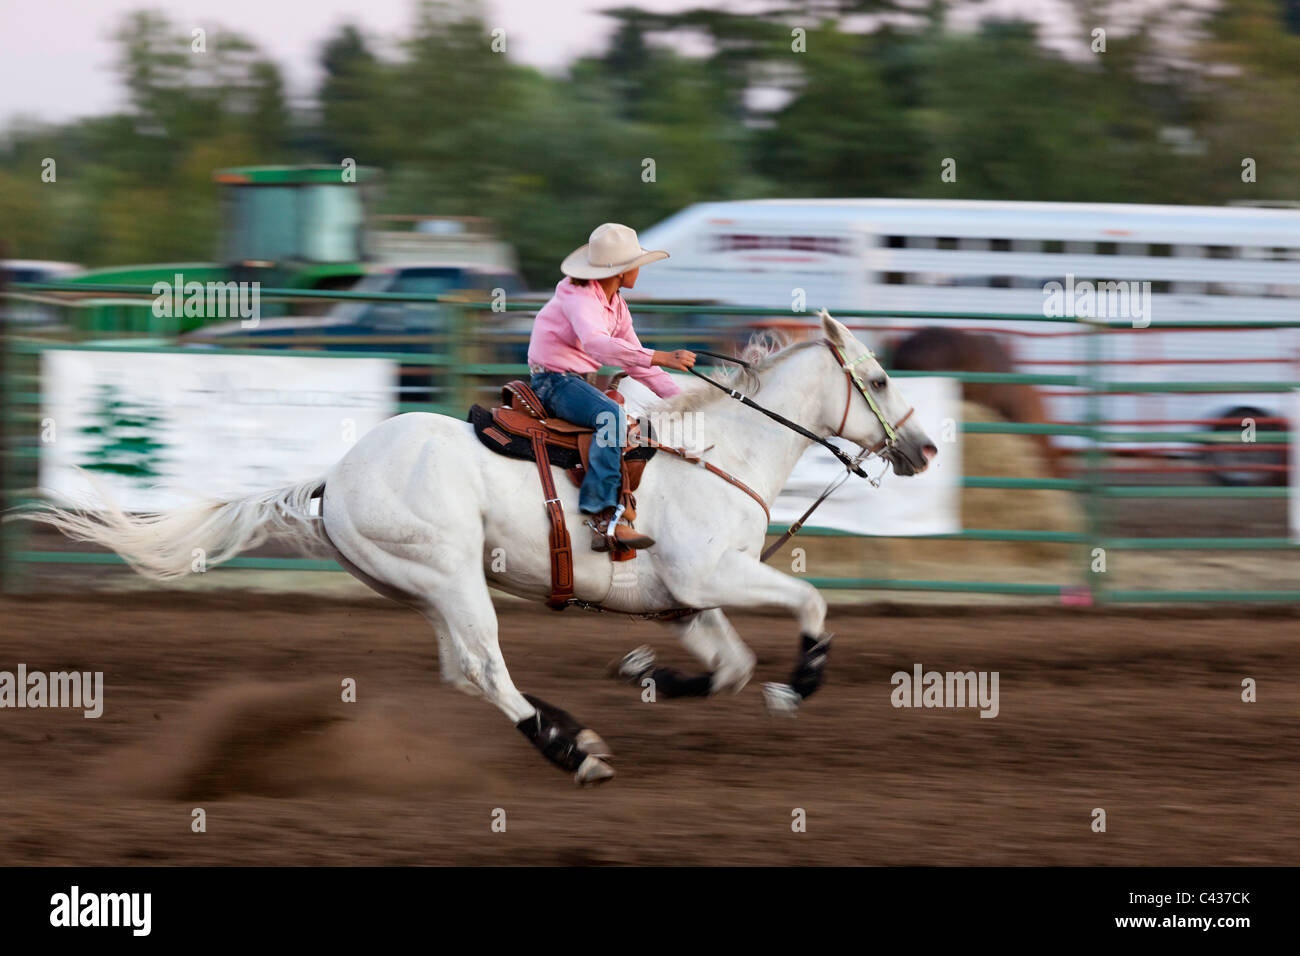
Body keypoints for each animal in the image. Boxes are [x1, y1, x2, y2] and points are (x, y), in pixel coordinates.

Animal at [17, 314, 935, 785]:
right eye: (880, 379)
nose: (924, 450)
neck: (719, 454)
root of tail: (335, 476)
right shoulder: (715, 574)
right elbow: (809, 605)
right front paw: (797, 687)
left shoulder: (685, 600)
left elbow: (731, 666)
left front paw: (644, 673)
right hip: (453, 576)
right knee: (488, 669)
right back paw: (572, 752)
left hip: (428, 588)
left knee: (464, 672)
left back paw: (571, 730)